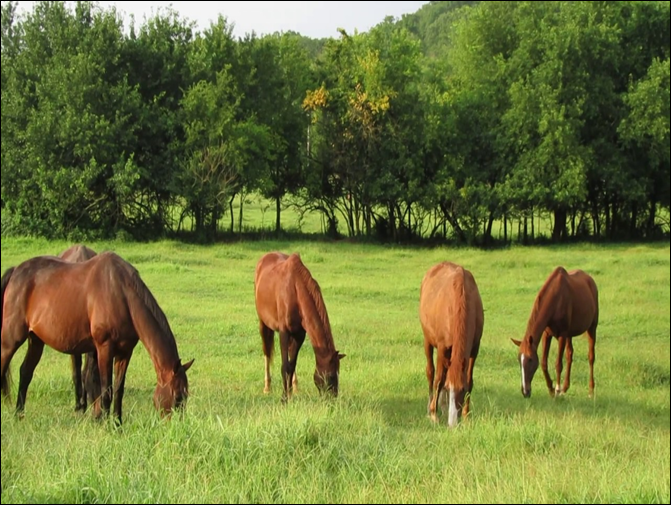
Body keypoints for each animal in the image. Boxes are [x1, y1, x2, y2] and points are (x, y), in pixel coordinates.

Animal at [253, 252, 346, 402]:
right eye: (331, 376)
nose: (333, 399)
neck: (295, 290)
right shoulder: (284, 333)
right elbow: (285, 366)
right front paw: (284, 398)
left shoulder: (299, 335)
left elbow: (292, 364)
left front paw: (289, 394)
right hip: (263, 323)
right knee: (266, 351)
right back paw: (267, 387)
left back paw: (294, 387)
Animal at [420, 262, 484, 428]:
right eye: (450, 388)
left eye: (462, 390)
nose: (453, 424)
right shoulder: (443, 347)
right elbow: (439, 379)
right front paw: (433, 415)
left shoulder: (475, 349)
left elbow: (469, 380)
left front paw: (466, 415)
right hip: (428, 341)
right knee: (431, 372)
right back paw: (431, 405)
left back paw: (442, 405)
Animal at [512, 266, 600, 400]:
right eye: (518, 359)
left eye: (530, 359)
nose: (525, 392)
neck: (556, 299)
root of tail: (590, 280)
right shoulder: (547, 335)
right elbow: (544, 363)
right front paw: (551, 389)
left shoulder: (562, 335)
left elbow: (558, 364)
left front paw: (557, 390)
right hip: (570, 334)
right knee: (569, 354)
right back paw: (565, 388)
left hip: (592, 328)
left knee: (591, 357)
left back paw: (590, 391)